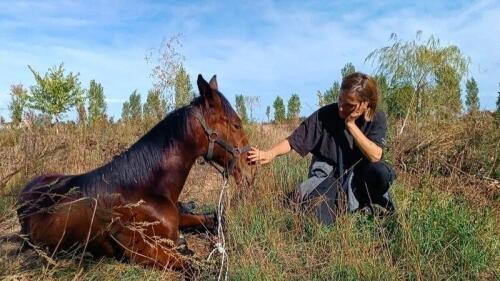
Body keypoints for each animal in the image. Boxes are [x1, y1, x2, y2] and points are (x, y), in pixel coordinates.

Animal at [17, 74, 256, 270]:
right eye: (236, 125)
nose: (250, 171)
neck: (143, 188)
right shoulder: (141, 251)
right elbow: (196, 266)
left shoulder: (177, 220)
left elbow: (215, 219)